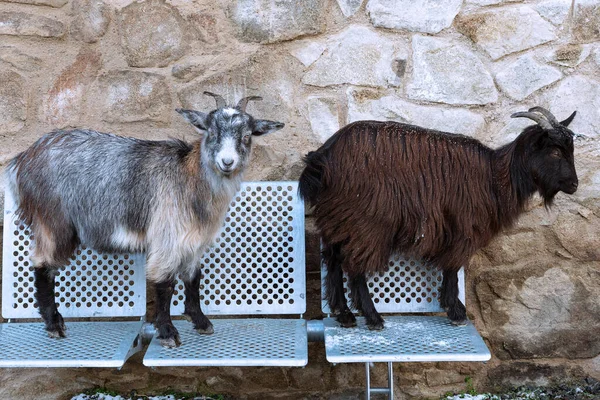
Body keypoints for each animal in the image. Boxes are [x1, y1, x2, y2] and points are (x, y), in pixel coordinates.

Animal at [5, 91, 284, 346]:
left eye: (246, 136)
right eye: (211, 132)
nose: (227, 162)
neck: (189, 178)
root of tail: (22, 160)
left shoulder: (194, 240)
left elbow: (193, 278)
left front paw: (201, 321)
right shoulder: (167, 236)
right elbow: (165, 284)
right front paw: (168, 332)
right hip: (52, 220)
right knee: (43, 264)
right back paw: (54, 324)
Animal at [302, 108, 580, 330]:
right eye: (555, 152)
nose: (574, 185)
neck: (495, 177)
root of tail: (322, 158)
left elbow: (450, 266)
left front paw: (452, 306)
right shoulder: (464, 227)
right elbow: (453, 266)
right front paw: (455, 310)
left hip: (338, 218)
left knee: (334, 260)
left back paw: (344, 315)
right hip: (366, 222)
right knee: (356, 266)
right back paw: (372, 318)